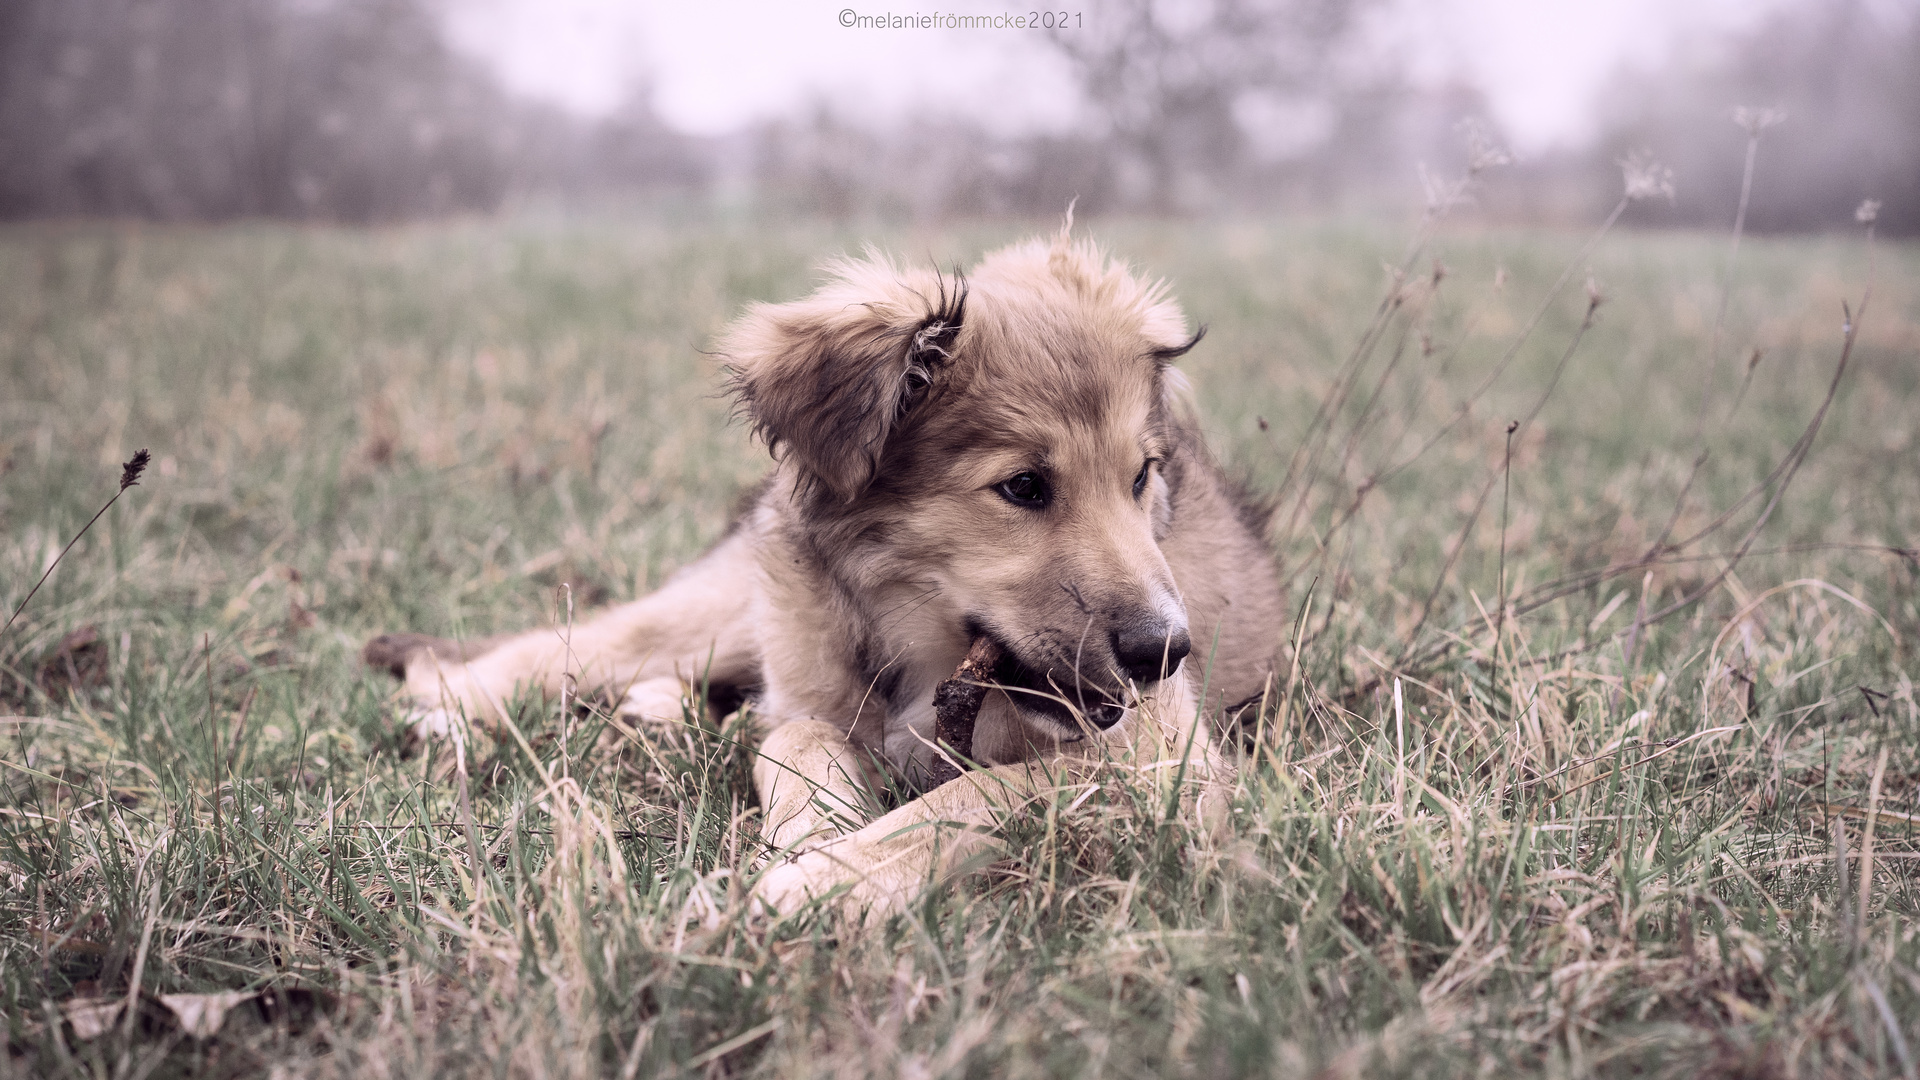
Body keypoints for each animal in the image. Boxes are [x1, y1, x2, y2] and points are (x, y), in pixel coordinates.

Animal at [366, 228, 1282, 914]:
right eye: (1023, 486)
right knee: (570, 648)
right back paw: (448, 706)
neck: (922, 647)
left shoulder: (1169, 764)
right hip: (725, 612)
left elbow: (986, 795)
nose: (1166, 652)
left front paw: (822, 883)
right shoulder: (812, 689)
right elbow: (795, 742)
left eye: (1142, 476)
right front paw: (817, 843)